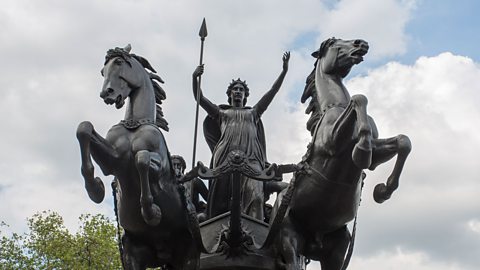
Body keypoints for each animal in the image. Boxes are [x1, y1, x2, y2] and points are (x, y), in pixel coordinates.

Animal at [76, 45, 198, 268]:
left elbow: (142, 159)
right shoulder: (112, 161)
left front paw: (151, 212)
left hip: (189, 255)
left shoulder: (159, 168)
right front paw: (95, 188)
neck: (135, 124)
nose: (106, 93)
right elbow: (84, 128)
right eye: (102, 71)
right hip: (134, 255)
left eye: (119, 63)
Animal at [272, 38, 410, 270]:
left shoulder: (376, 153)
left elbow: (403, 142)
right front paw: (362, 150)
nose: (361, 43)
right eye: (333, 43)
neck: (335, 105)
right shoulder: (332, 142)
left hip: (337, 248)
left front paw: (383, 190)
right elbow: (359, 98)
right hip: (289, 236)